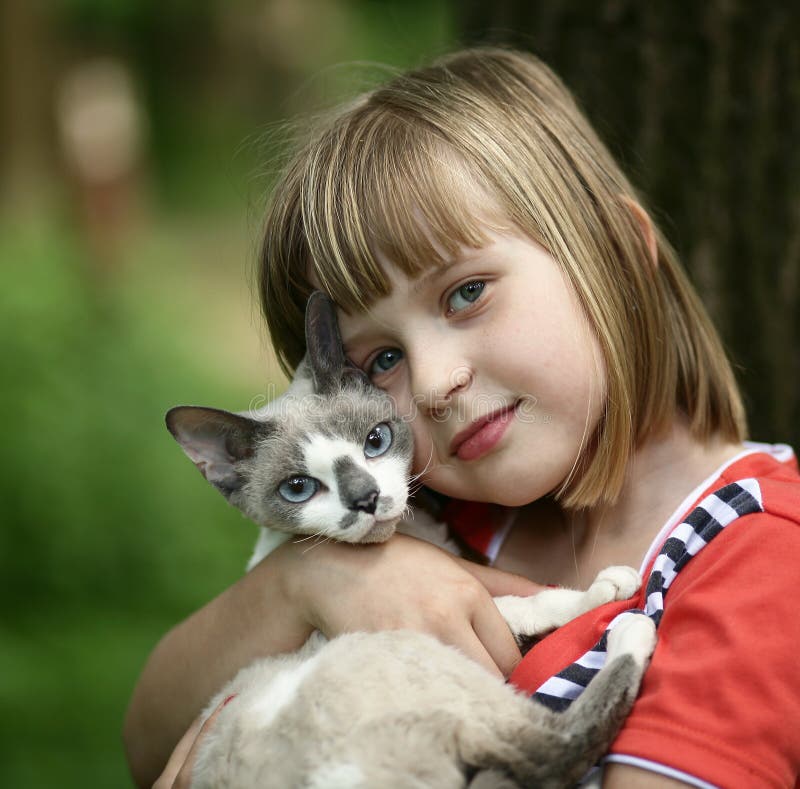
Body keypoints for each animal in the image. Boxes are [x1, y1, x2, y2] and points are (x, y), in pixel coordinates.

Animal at [166, 290, 652, 788]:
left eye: (375, 440)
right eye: (299, 488)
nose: (365, 498)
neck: (414, 534)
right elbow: (527, 604)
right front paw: (608, 590)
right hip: (400, 652)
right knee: (552, 747)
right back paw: (632, 630)